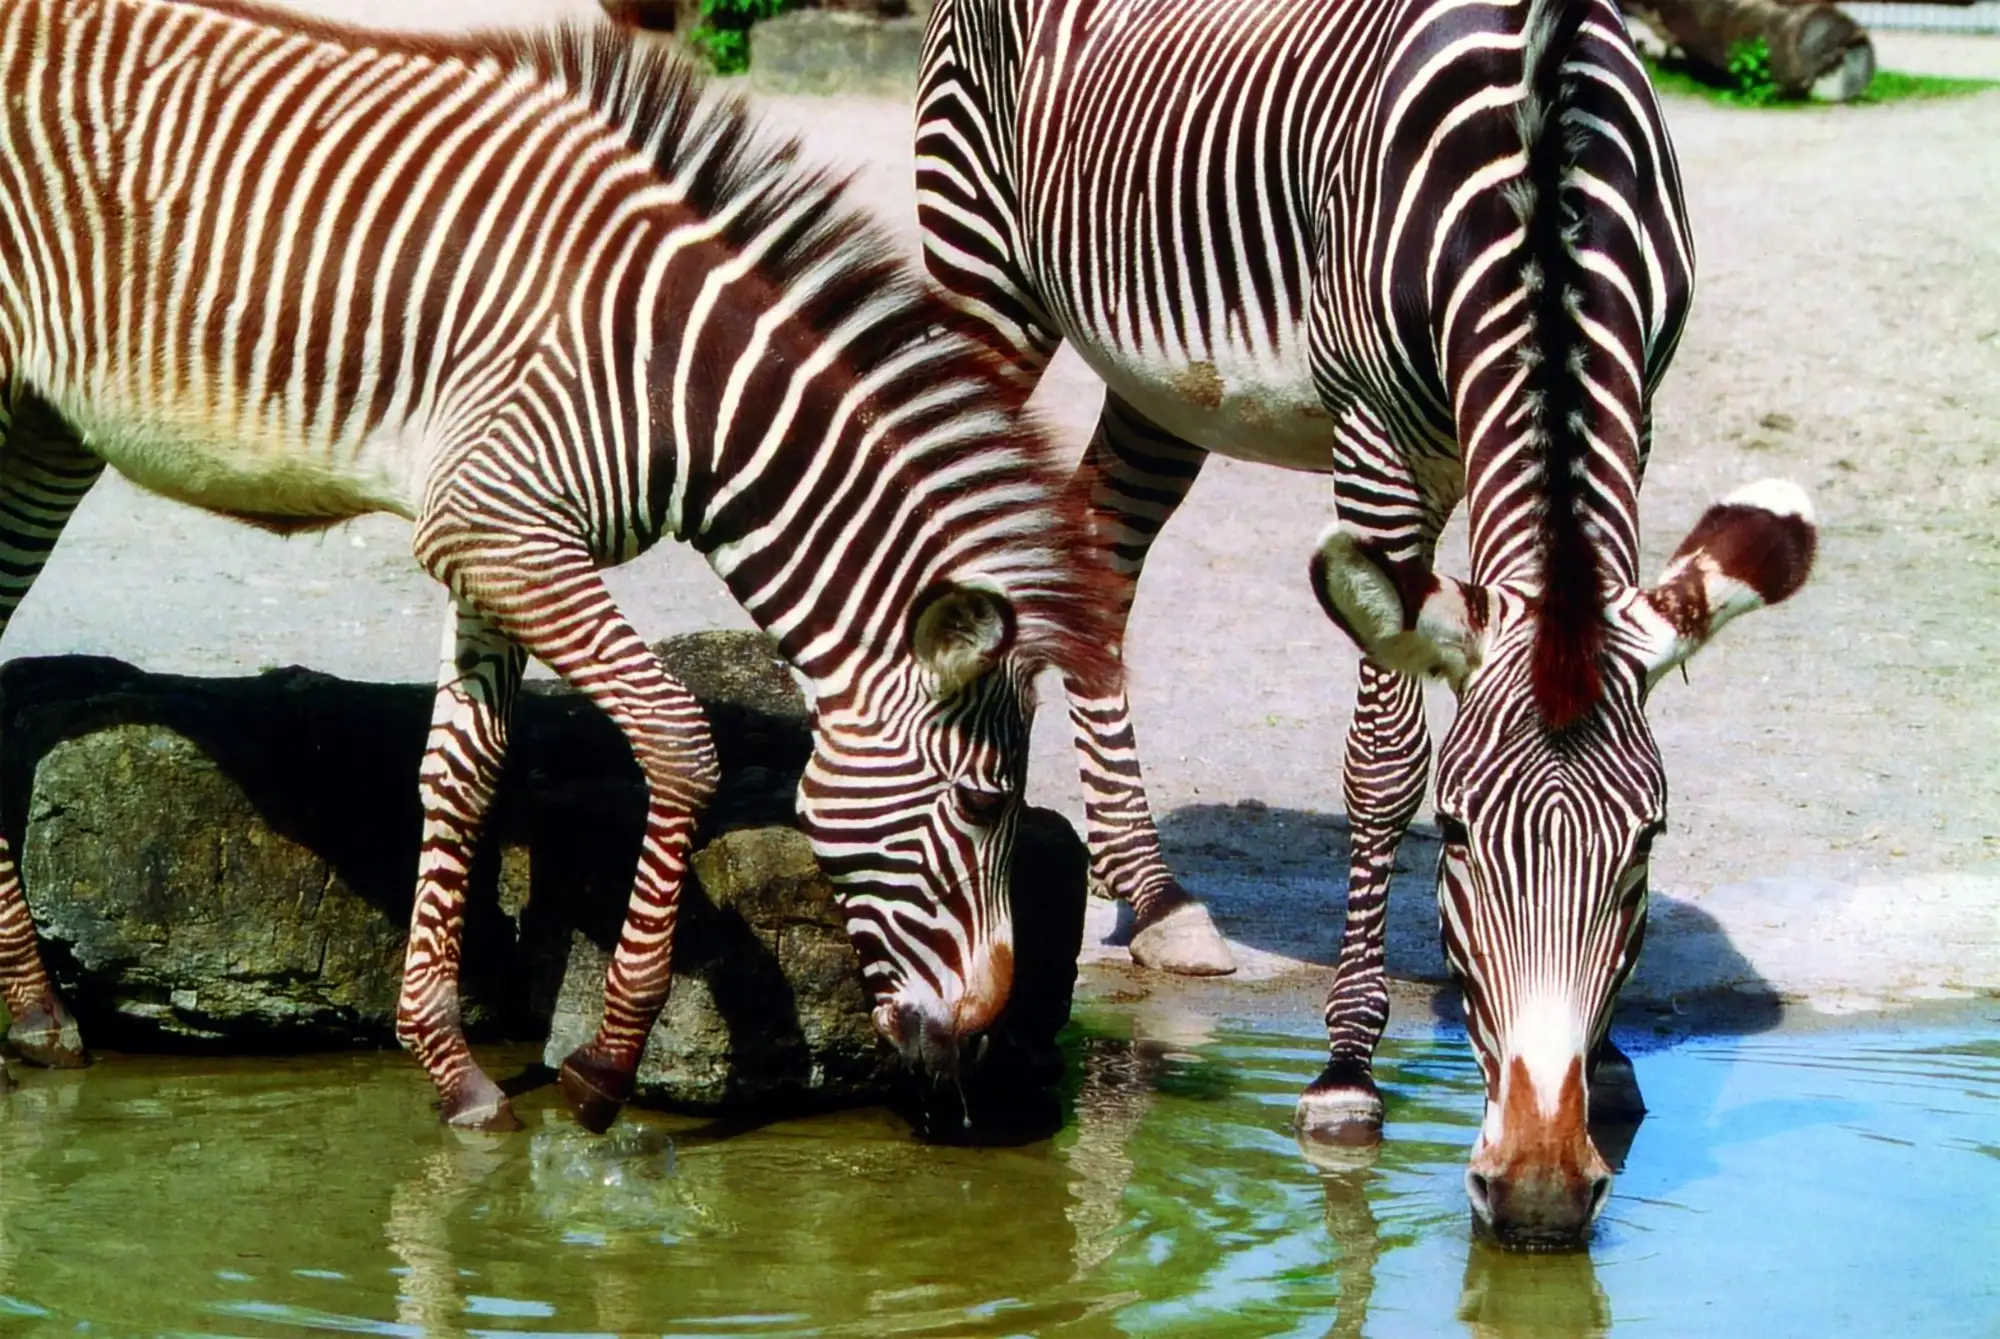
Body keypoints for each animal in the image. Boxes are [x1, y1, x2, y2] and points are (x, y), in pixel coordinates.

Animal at [0, 0, 1117, 1133]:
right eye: (982, 804)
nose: (972, 1049)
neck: (676, 381)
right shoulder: (499, 526)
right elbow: (679, 741)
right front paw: (604, 1064)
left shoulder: (490, 542)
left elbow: (464, 772)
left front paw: (449, 1064)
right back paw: (37, 1009)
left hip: (46, 427)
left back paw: (34, 1011)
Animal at [916, 0, 1816, 1244]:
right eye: (1460, 835)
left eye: (1645, 844)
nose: (1539, 1191)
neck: (1544, 169)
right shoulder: (1379, 454)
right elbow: (1381, 761)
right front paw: (1345, 1071)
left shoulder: (1633, 413)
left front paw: (1611, 1059)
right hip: (981, 256)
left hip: (1163, 380)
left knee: (1098, 545)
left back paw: (1155, 895)